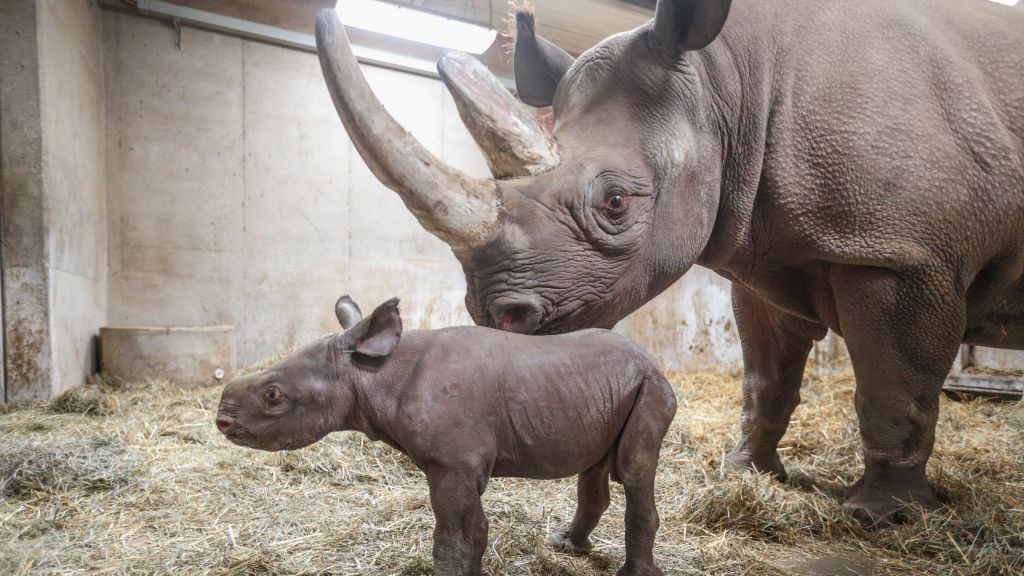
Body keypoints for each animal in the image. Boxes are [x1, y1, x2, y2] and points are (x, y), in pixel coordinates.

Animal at [218, 295, 671, 573]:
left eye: (273, 395)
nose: (221, 422)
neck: (373, 373)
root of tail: (653, 359)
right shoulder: (457, 464)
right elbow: (474, 531)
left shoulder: (452, 463)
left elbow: (452, 536)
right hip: (606, 389)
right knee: (594, 467)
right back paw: (565, 545)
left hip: (650, 386)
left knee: (634, 469)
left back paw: (630, 571)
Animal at [313, 0, 1024, 524]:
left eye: (616, 202)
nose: (497, 315)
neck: (724, 83)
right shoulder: (769, 256)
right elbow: (764, 378)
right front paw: (746, 471)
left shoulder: (901, 254)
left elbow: (893, 385)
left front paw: (881, 516)